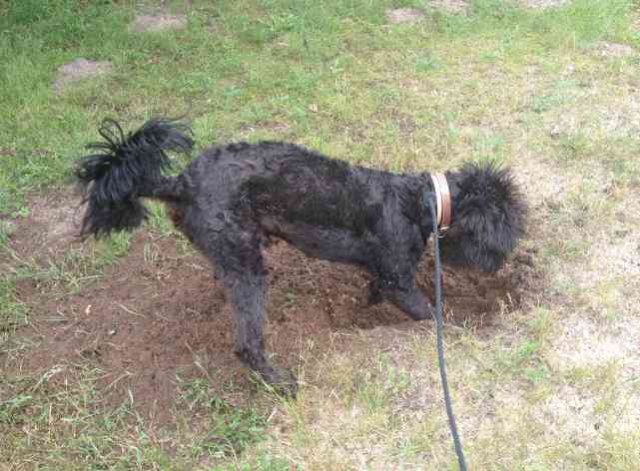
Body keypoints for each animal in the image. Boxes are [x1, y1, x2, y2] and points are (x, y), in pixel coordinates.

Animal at [77, 118, 524, 394]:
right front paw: (461, 330)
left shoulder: (385, 276)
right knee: (247, 344)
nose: (506, 256)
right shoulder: (401, 281)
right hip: (248, 267)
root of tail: (180, 183)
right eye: (504, 224)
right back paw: (281, 385)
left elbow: (374, 294)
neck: (419, 201)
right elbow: (432, 313)